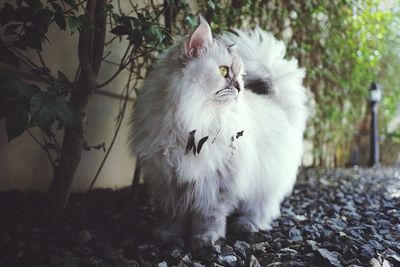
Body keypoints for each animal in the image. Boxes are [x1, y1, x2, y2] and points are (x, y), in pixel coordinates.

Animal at [130, 16, 308, 250]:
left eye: (240, 76)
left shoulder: (216, 182)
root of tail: (276, 105)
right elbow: (176, 214)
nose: (240, 87)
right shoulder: (171, 180)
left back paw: (247, 225)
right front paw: (169, 235)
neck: (193, 117)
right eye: (224, 72)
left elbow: (208, 215)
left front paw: (205, 239)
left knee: (262, 209)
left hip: (264, 184)